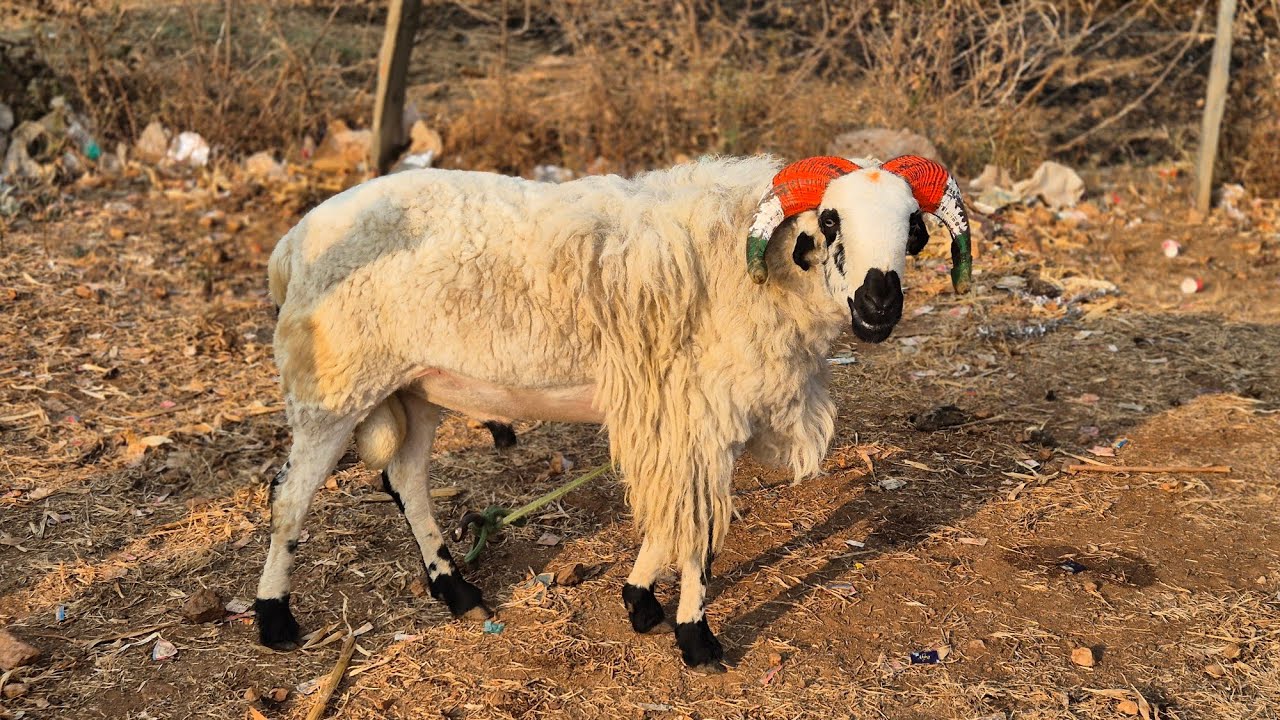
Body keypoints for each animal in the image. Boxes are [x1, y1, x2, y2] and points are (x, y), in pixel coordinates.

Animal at [255, 154, 972, 672]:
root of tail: (289, 247)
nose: (880, 304)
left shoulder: (686, 419)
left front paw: (640, 599)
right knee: (289, 496)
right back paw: (274, 618)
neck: (752, 263)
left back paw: (455, 590)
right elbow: (696, 528)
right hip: (333, 389)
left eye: (913, 228)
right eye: (829, 222)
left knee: (406, 479)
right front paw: (697, 639)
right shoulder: (698, 412)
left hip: (419, 386)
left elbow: (672, 515)